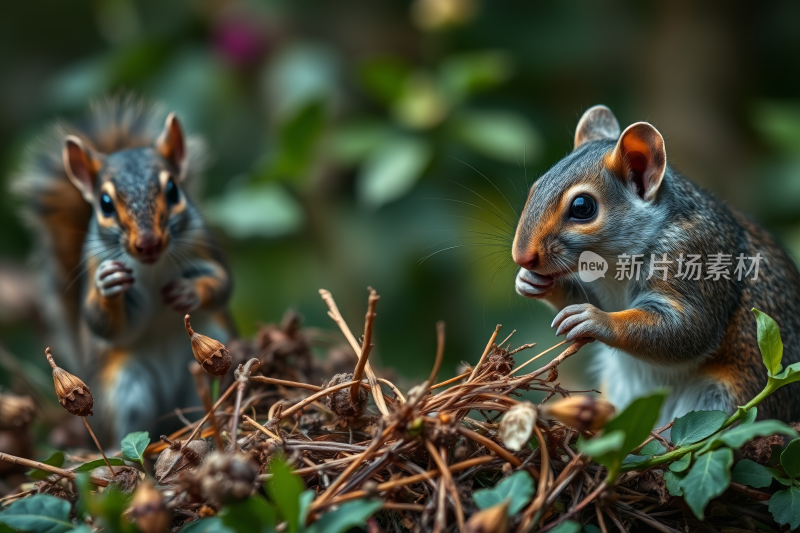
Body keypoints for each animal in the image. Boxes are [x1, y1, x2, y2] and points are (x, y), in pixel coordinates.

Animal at [12, 95, 233, 440]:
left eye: (174, 190)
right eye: (104, 204)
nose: (148, 243)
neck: (152, 266)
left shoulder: (206, 246)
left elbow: (222, 284)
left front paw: (189, 291)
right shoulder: (92, 263)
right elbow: (103, 323)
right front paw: (107, 286)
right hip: (124, 388)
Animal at [512, 106, 800, 426]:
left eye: (583, 207)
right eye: (536, 188)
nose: (521, 256)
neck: (613, 267)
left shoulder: (695, 258)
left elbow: (688, 329)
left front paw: (596, 319)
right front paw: (530, 281)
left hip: (723, 401)